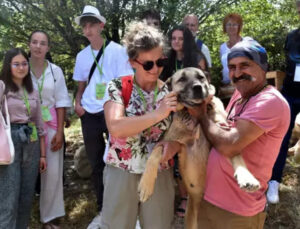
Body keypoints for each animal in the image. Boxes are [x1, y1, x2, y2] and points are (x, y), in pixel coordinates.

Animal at [138, 67, 260, 229]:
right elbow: (155, 154)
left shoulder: (224, 138)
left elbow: (237, 157)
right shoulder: (172, 142)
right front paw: (145, 186)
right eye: (182, 79)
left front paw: (247, 177)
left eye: (201, 77)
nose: (197, 87)